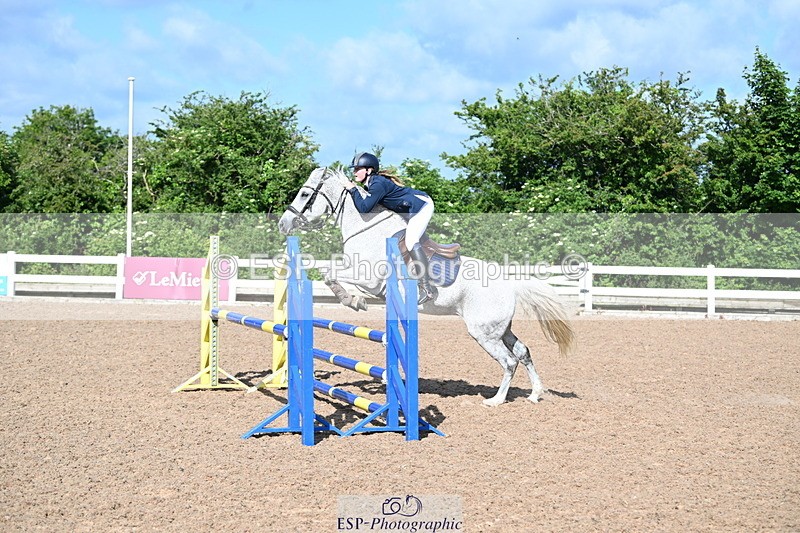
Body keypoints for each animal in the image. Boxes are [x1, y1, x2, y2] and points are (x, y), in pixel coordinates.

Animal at [278, 167, 575, 406]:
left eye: (305, 195)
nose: (283, 223)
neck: (366, 228)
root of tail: (509, 283)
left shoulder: (368, 277)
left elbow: (329, 273)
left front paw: (353, 301)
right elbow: (331, 274)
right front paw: (355, 300)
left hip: (483, 332)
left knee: (509, 361)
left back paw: (496, 400)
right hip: (501, 328)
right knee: (523, 352)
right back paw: (535, 394)